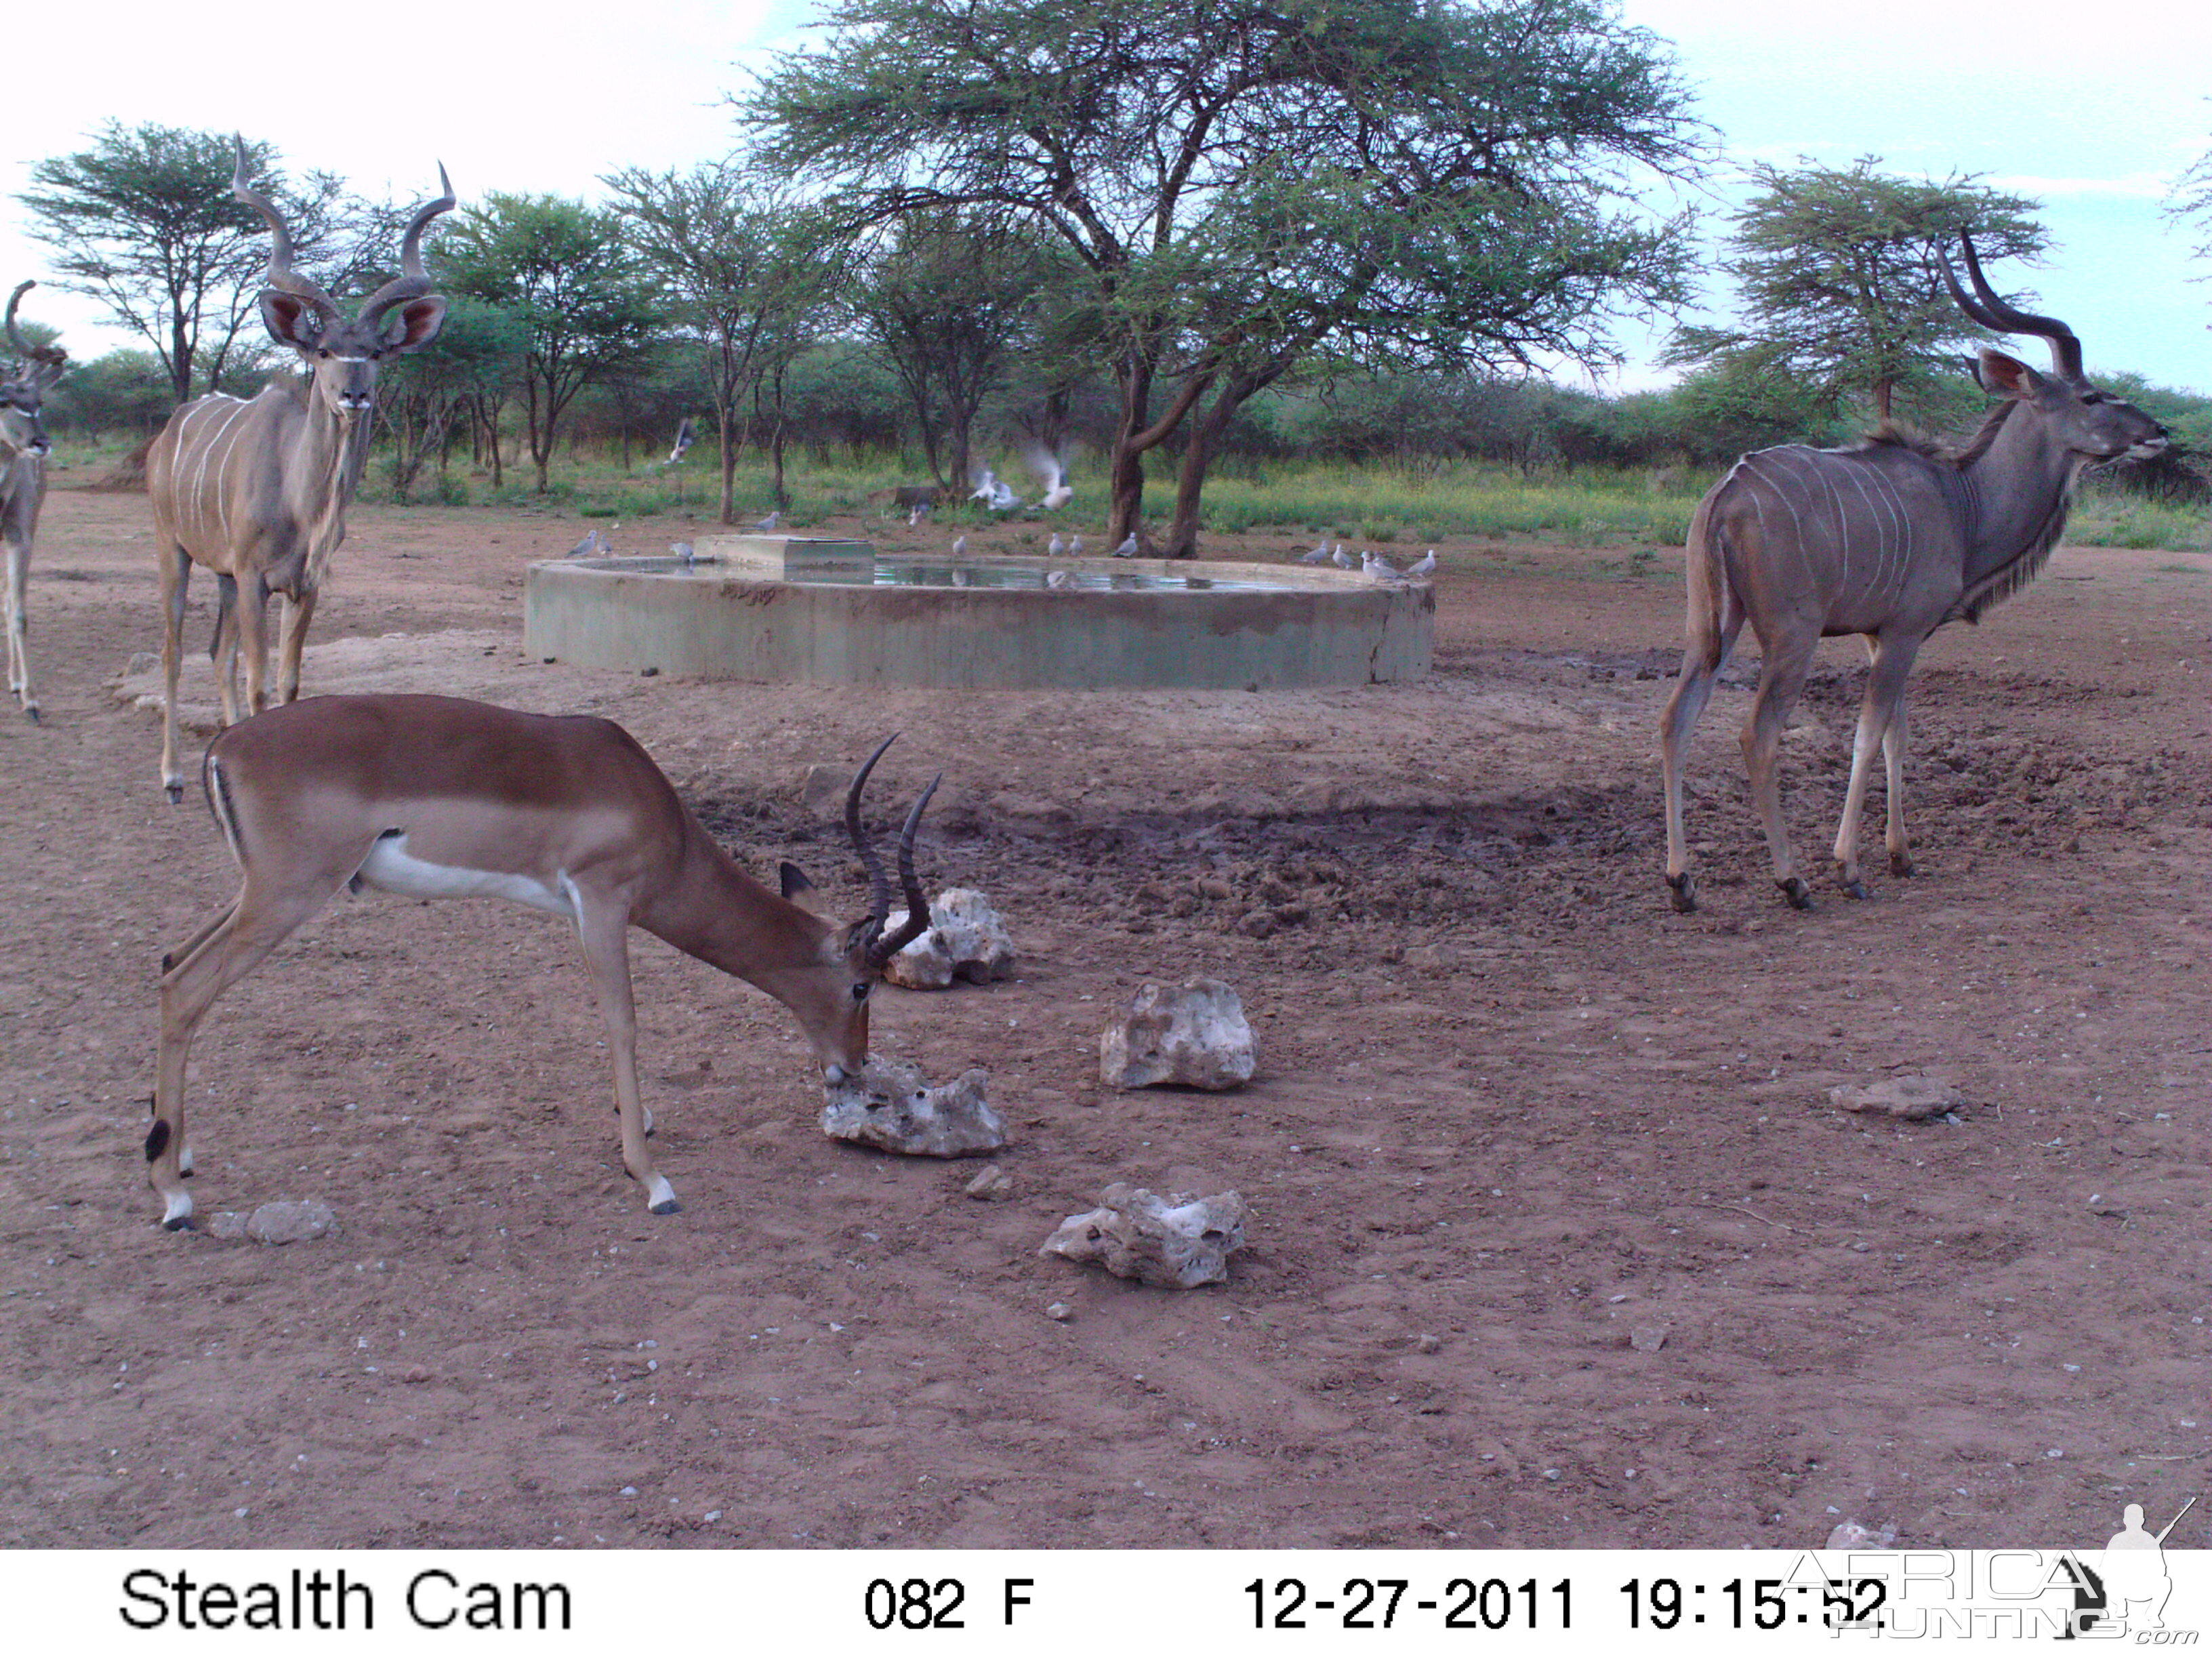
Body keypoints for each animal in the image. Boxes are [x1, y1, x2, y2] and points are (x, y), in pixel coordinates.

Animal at [148, 136, 453, 800]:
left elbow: (287, 683)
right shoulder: (256, 578)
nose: (354, 394)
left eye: (376, 352)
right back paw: (174, 777)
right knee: (175, 648)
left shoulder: (304, 584)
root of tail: (166, 432)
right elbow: (261, 683)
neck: (302, 502)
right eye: (322, 350)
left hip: (223, 576)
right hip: (175, 551)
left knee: (216, 652)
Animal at [1663, 235, 2158, 916]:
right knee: (1756, 735)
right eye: (2091, 398)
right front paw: (1850, 868)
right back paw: (1793, 881)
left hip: (1710, 627)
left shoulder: (1885, 636)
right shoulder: (1901, 633)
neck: (1962, 501)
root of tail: (1727, 494)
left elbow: (1899, 735)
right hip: (1791, 637)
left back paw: (1682, 882)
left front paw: (1902, 856)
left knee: (1676, 720)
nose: (2159, 432)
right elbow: (1868, 735)